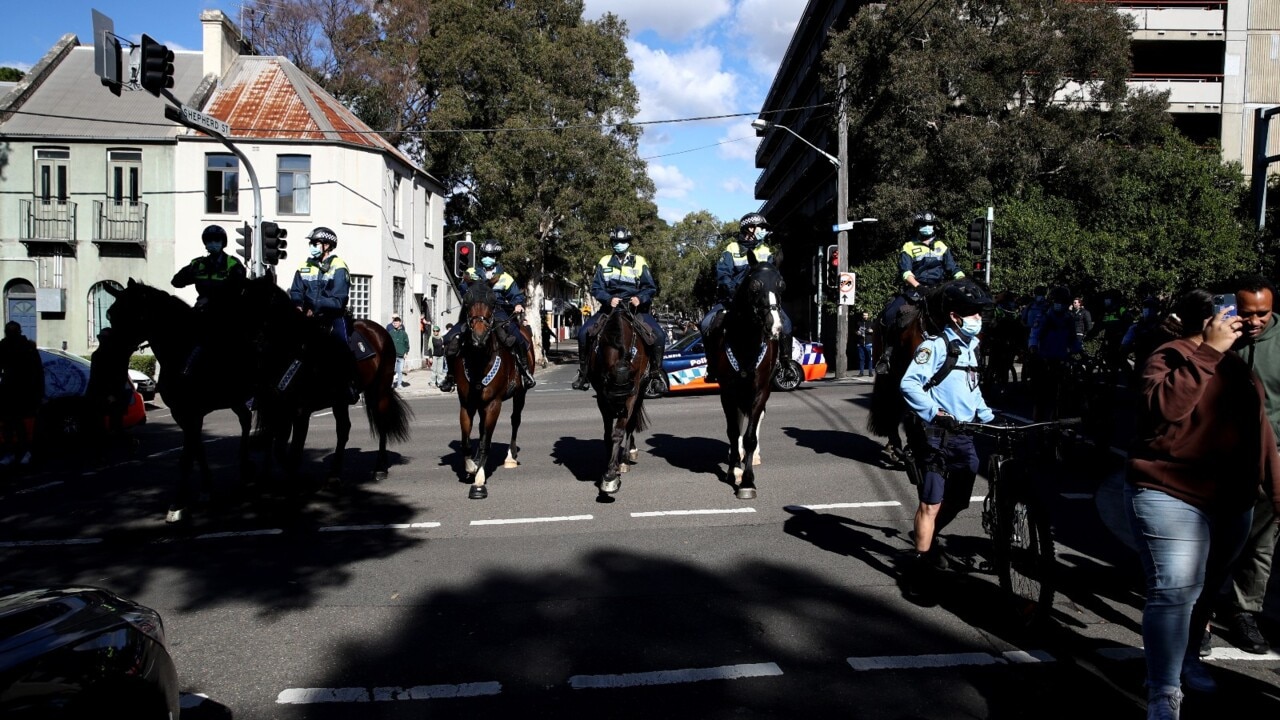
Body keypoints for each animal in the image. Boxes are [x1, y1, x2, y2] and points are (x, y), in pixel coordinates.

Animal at [453, 278, 532, 497]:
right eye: (467, 301)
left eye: (493, 303)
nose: (478, 338)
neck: (480, 360)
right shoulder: (467, 405)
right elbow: (466, 441)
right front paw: (471, 467)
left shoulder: (493, 404)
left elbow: (486, 442)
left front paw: (479, 482)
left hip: (520, 394)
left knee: (515, 420)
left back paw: (510, 457)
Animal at [586, 302, 655, 491]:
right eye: (612, 399)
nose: (619, 411)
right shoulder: (602, 397)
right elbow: (608, 433)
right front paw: (610, 464)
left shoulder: (632, 394)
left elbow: (619, 431)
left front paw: (611, 474)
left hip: (641, 392)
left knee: (630, 425)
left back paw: (625, 457)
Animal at [706, 257, 783, 499]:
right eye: (754, 286)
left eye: (782, 285)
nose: (774, 326)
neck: (746, 342)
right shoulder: (728, 393)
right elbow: (733, 432)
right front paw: (734, 470)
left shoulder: (761, 391)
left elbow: (750, 437)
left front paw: (748, 481)